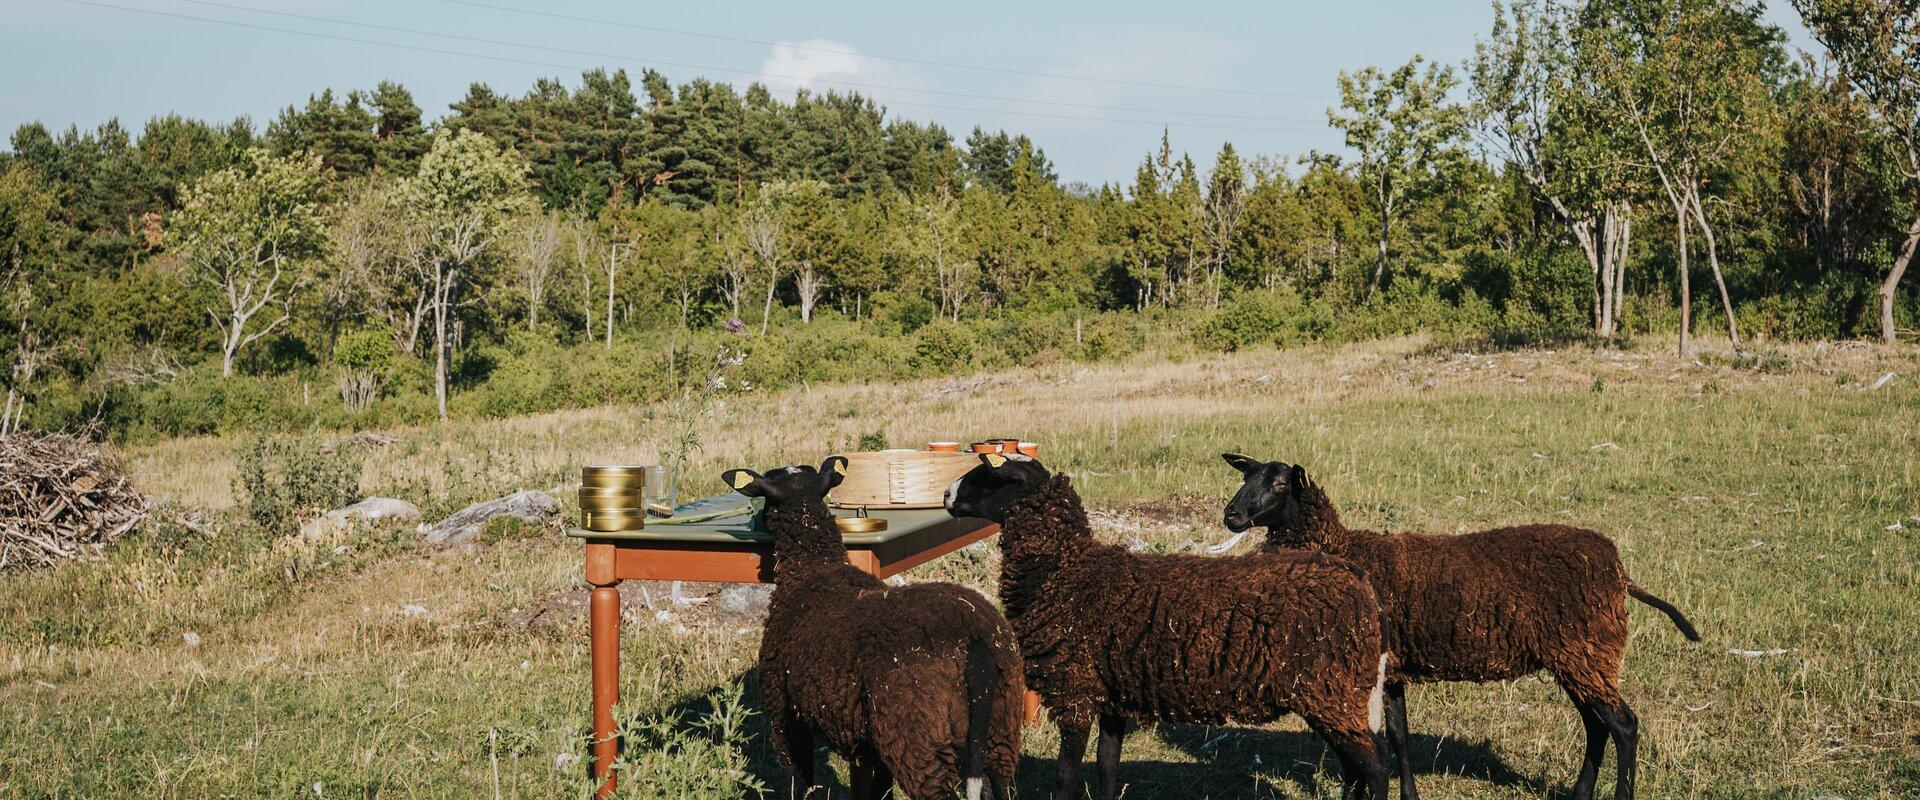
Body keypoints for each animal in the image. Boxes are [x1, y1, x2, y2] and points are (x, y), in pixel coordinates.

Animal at [721, 454, 1029, 798]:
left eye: (766, 489)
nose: (755, 523)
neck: (813, 570)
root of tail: (973, 641)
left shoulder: (785, 713)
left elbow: (801, 781)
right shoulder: (869, 740)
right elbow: (879, 788)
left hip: (917, 736)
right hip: (1000, 724)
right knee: (1000, 780)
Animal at [948, 452, 1390, 798]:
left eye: (991, 476)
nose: (947, 495)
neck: (1065, 570)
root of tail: (1355, 578)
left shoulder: (1075, 692)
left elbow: (1065, 779)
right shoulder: (1112, 696)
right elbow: (1107, 769)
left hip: (1331, 690)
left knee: (1376, 770)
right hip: (1335, 696)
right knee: (1357, 771)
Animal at [1221, 454, 1704, 798]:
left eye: (1279, 483)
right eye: (1247, 477)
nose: (1231, 515)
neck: (1342, 547)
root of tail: (1618, 570)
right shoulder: (1390, 669)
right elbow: (1399, 737)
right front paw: (1410, 795)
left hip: (1586, 648)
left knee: (1623, 726)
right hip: (1579, 656)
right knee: (1597, 726)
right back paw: (1579, 794)